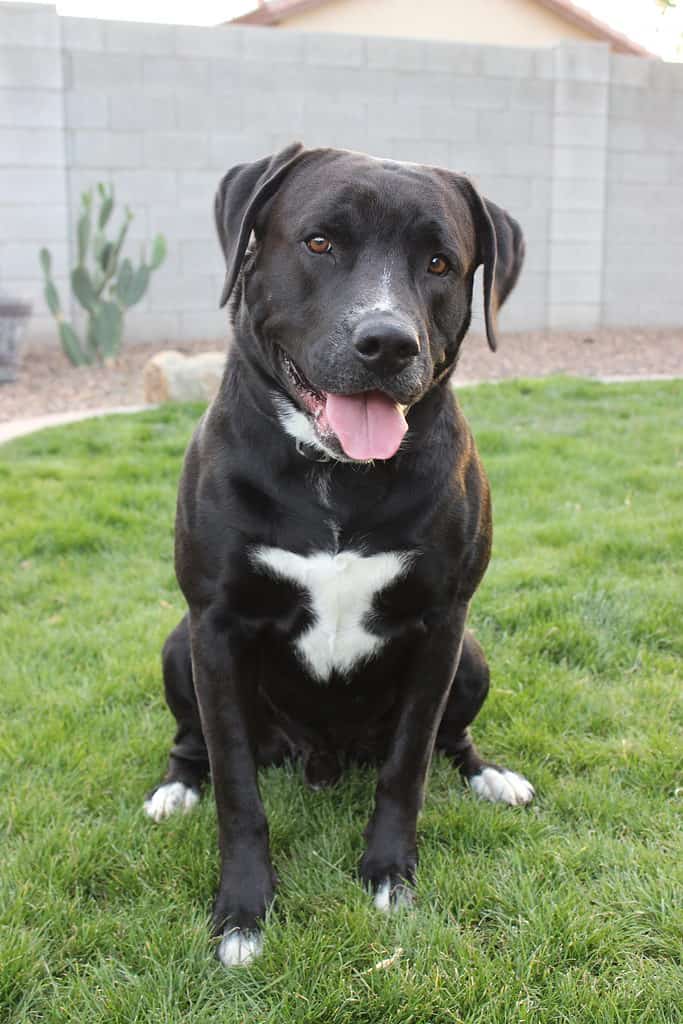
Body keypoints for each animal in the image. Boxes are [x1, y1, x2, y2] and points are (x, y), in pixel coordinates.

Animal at [144, 144, 532, 966]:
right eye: (319, 242)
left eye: (440, 263)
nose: (387, 343)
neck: (337, 477)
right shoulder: (215, 626)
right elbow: (237, 788)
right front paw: (242, 913)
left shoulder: (443, 624)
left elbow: (408, 766)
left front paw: (389, 875)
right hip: (177, 644)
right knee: (193, 741)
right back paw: (175, 788)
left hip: (473, 657)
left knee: (451, 738)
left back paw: (490, 777)